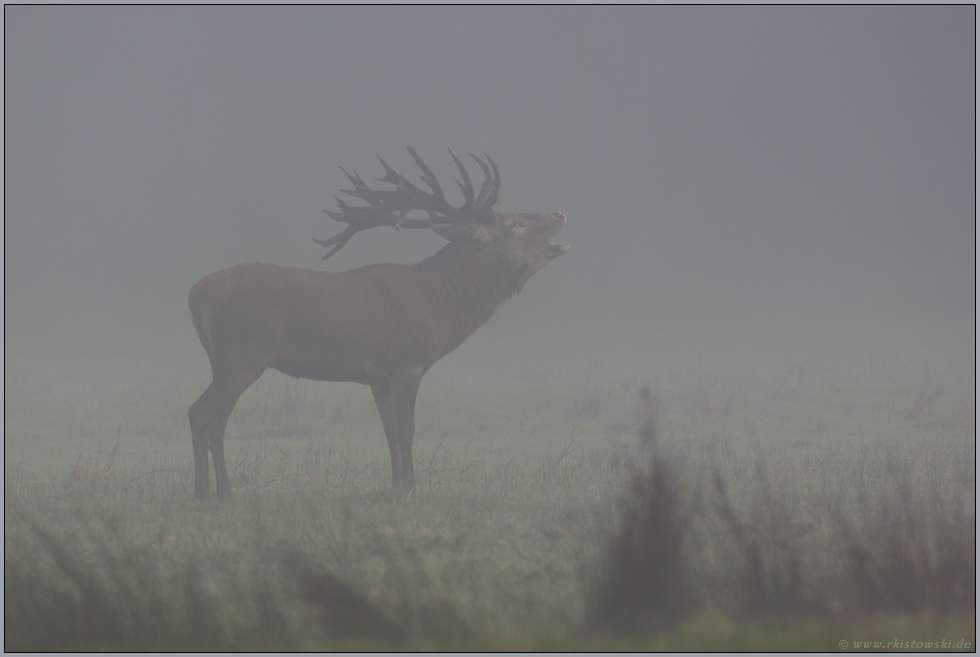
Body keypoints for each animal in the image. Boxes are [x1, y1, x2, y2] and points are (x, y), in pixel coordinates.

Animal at [188, 147, 568, 498]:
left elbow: (389, 431)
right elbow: (407, 430)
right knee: (199, 412)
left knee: (218, 420)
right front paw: (412, 489)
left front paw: (396, 485)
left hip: (224, 360)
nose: (560, 213)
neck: (441, 304)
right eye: (516, 223)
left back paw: (225, 490)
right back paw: (202, 491)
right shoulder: (407, 363)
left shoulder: (377, 376)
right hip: (243, 354)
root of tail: (197, 289)